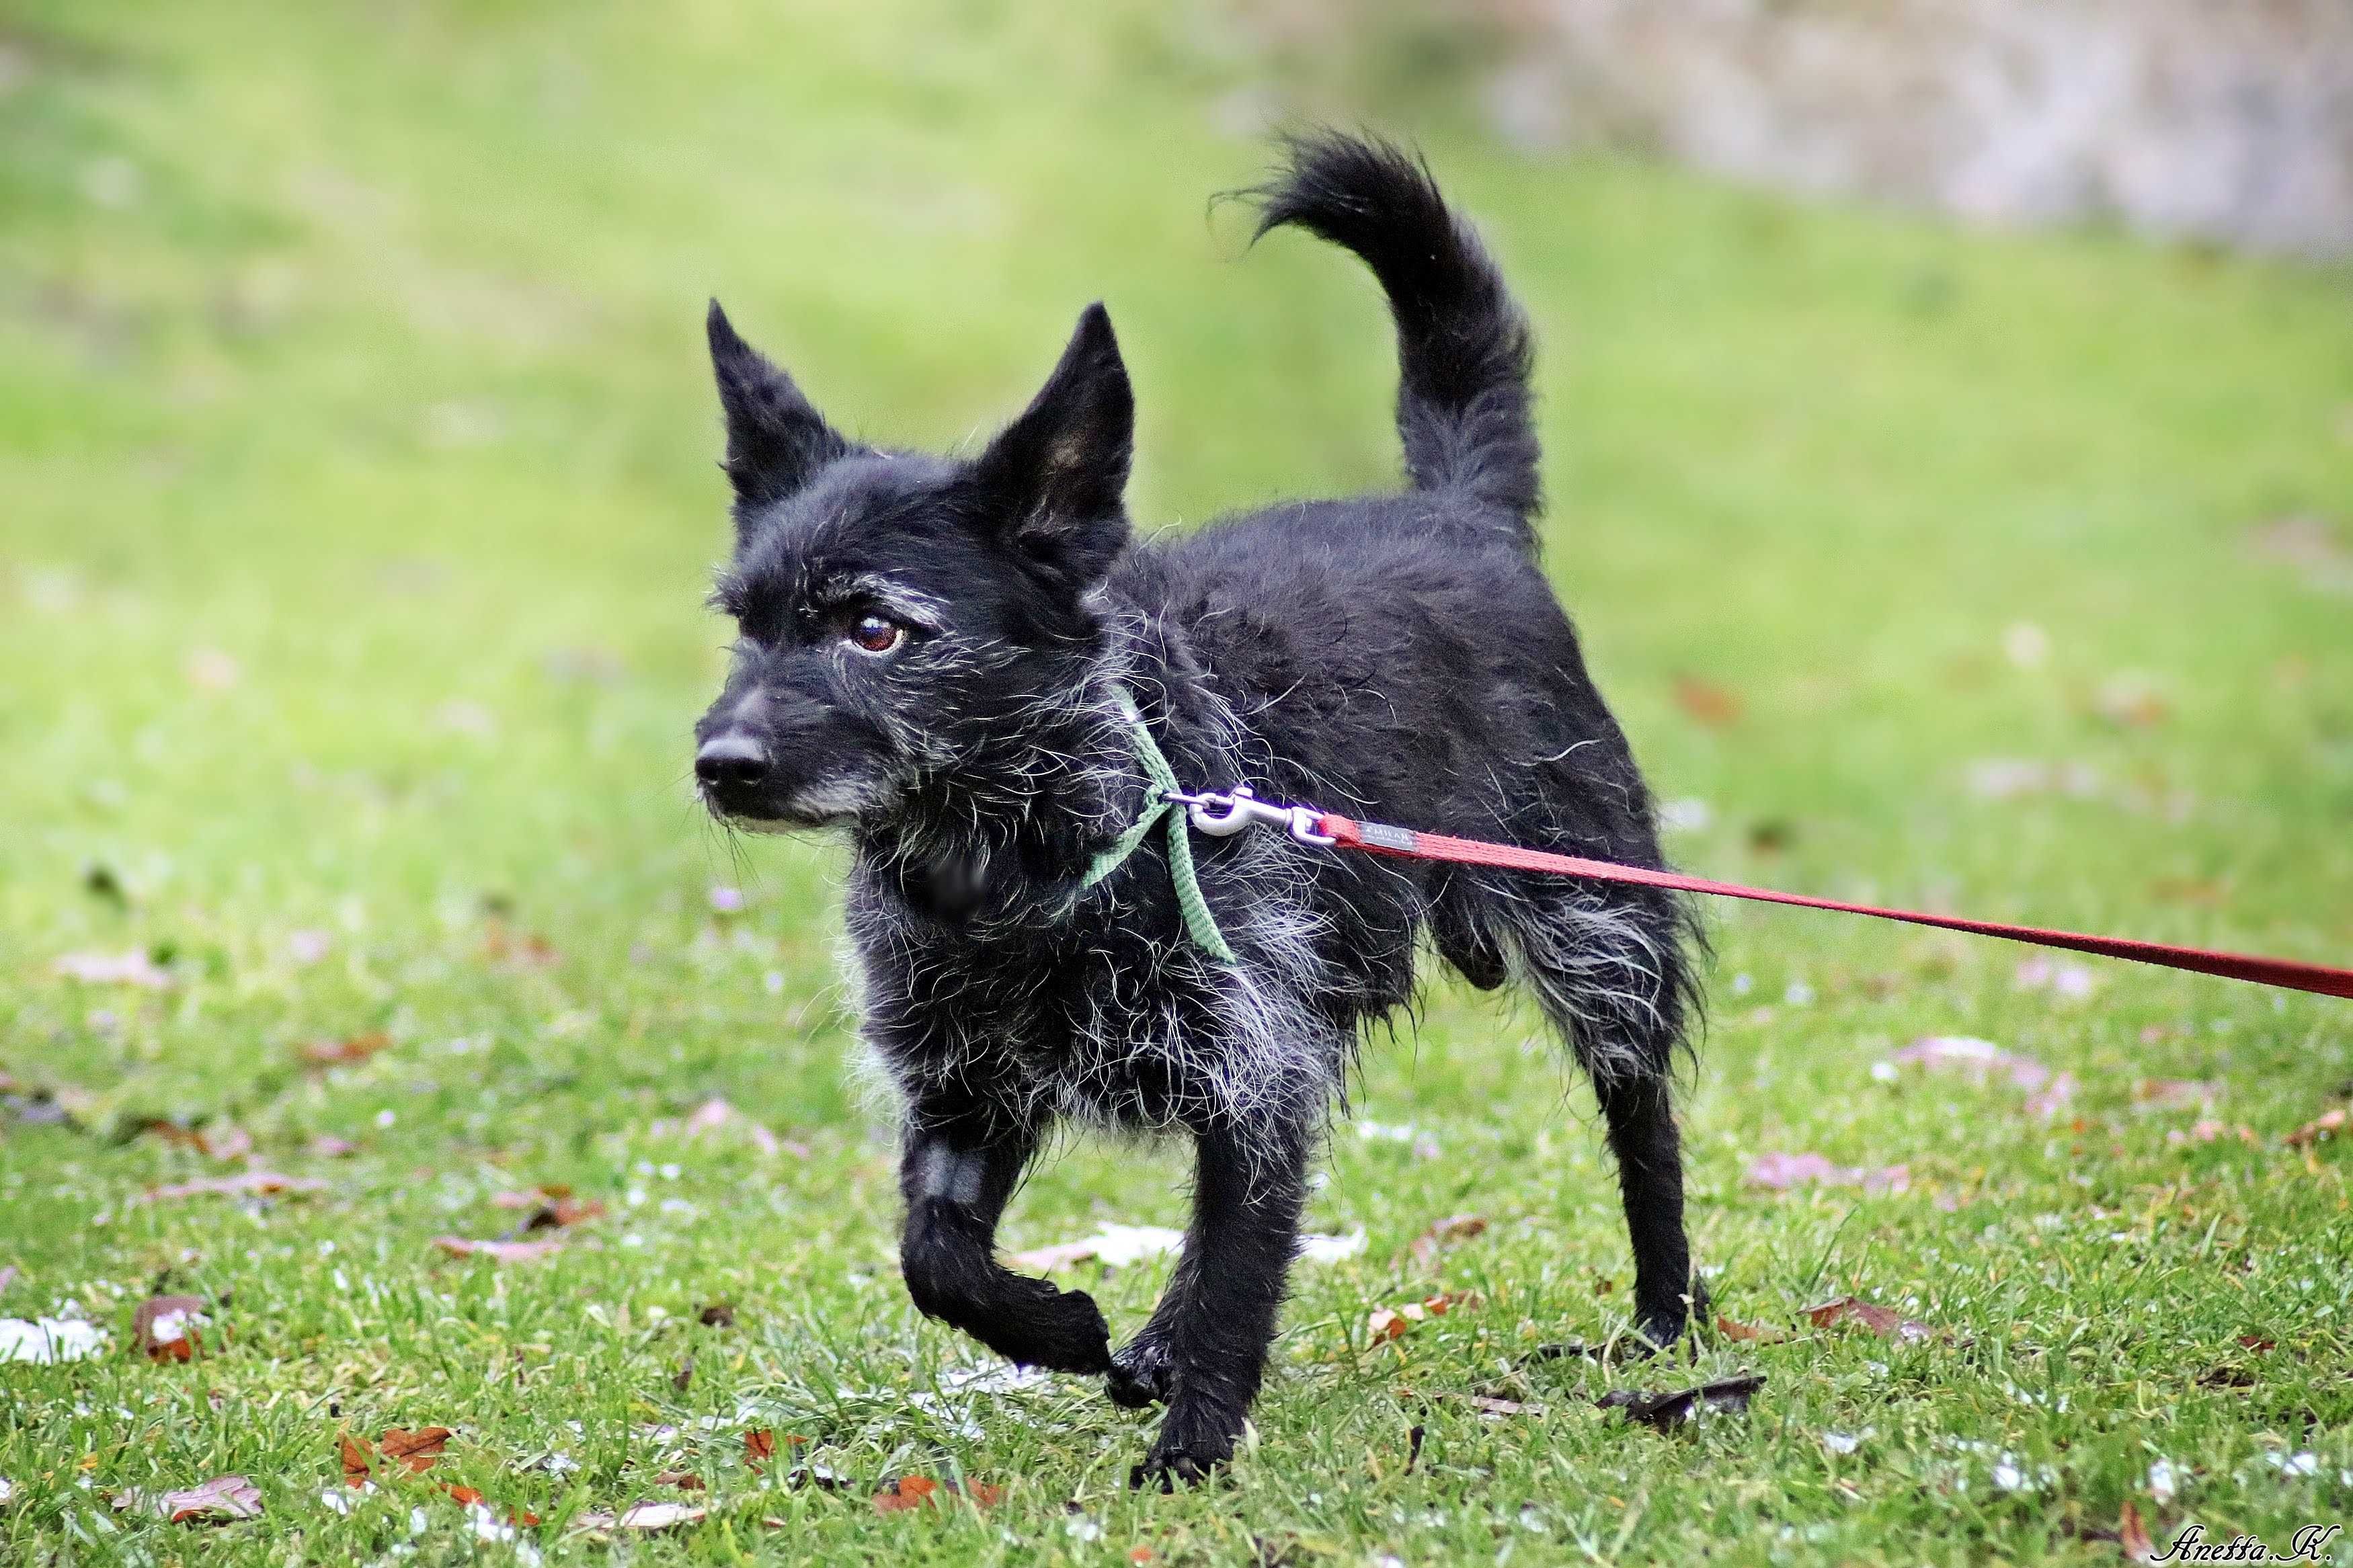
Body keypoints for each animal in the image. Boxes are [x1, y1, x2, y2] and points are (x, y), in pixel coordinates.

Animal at [687, 131, 1704, 1485]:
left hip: (1595, 929)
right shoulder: (967, 1084)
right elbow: (935, 1249)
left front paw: (1195, 1454)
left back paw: (1665, 1317)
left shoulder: (1253, 1066)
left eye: (876, 628)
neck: (1025, 858)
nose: (722, 762)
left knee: (1644, 1122)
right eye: (746, 622)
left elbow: (1238, 1270)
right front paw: (1060, 1325)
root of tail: (1459, 513)